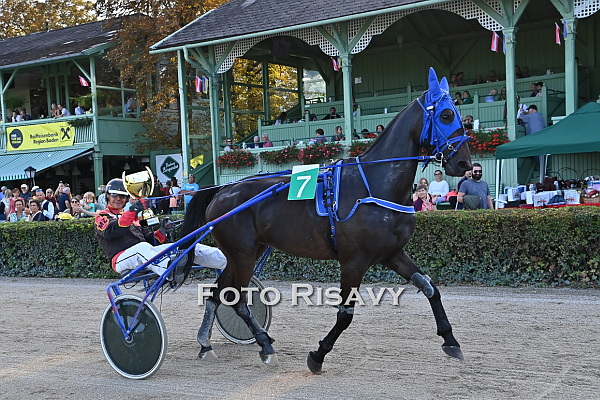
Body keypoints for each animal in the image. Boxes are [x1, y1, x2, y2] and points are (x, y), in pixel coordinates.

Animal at [179, 68, 472, 374]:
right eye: (446, 115)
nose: (464, 164)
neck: (373, 184)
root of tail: (222, 190)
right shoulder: (354, 261)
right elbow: (345, 314)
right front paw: (318, 354)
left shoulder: (392, 253)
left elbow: (430, 288)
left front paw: (451, 340)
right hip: (243, 254)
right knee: (236, 300)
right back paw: (265, 345)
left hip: (244, 253)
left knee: (217, 294)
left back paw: (206, 344)